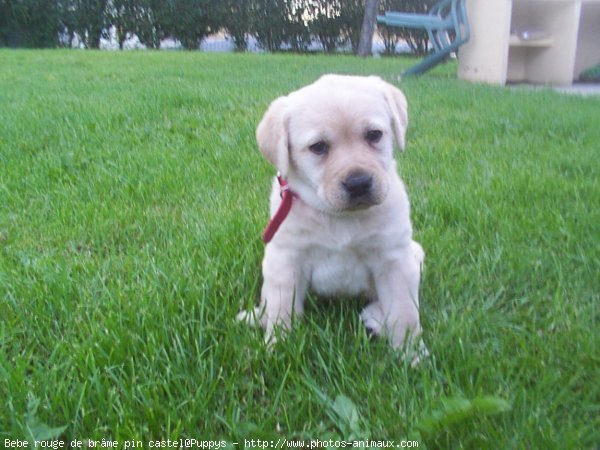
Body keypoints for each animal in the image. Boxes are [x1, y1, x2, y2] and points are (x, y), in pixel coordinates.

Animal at [238, 74, 426, 358]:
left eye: (374, 135)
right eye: (318, 147)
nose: (359, 183)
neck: (339, 217)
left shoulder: (395, 260)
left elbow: (404, 312)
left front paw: (411, 354)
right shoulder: (285, 260)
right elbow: (282, 309)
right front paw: (278, 348)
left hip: (415, 254)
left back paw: (374, 319)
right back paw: (258, 316)